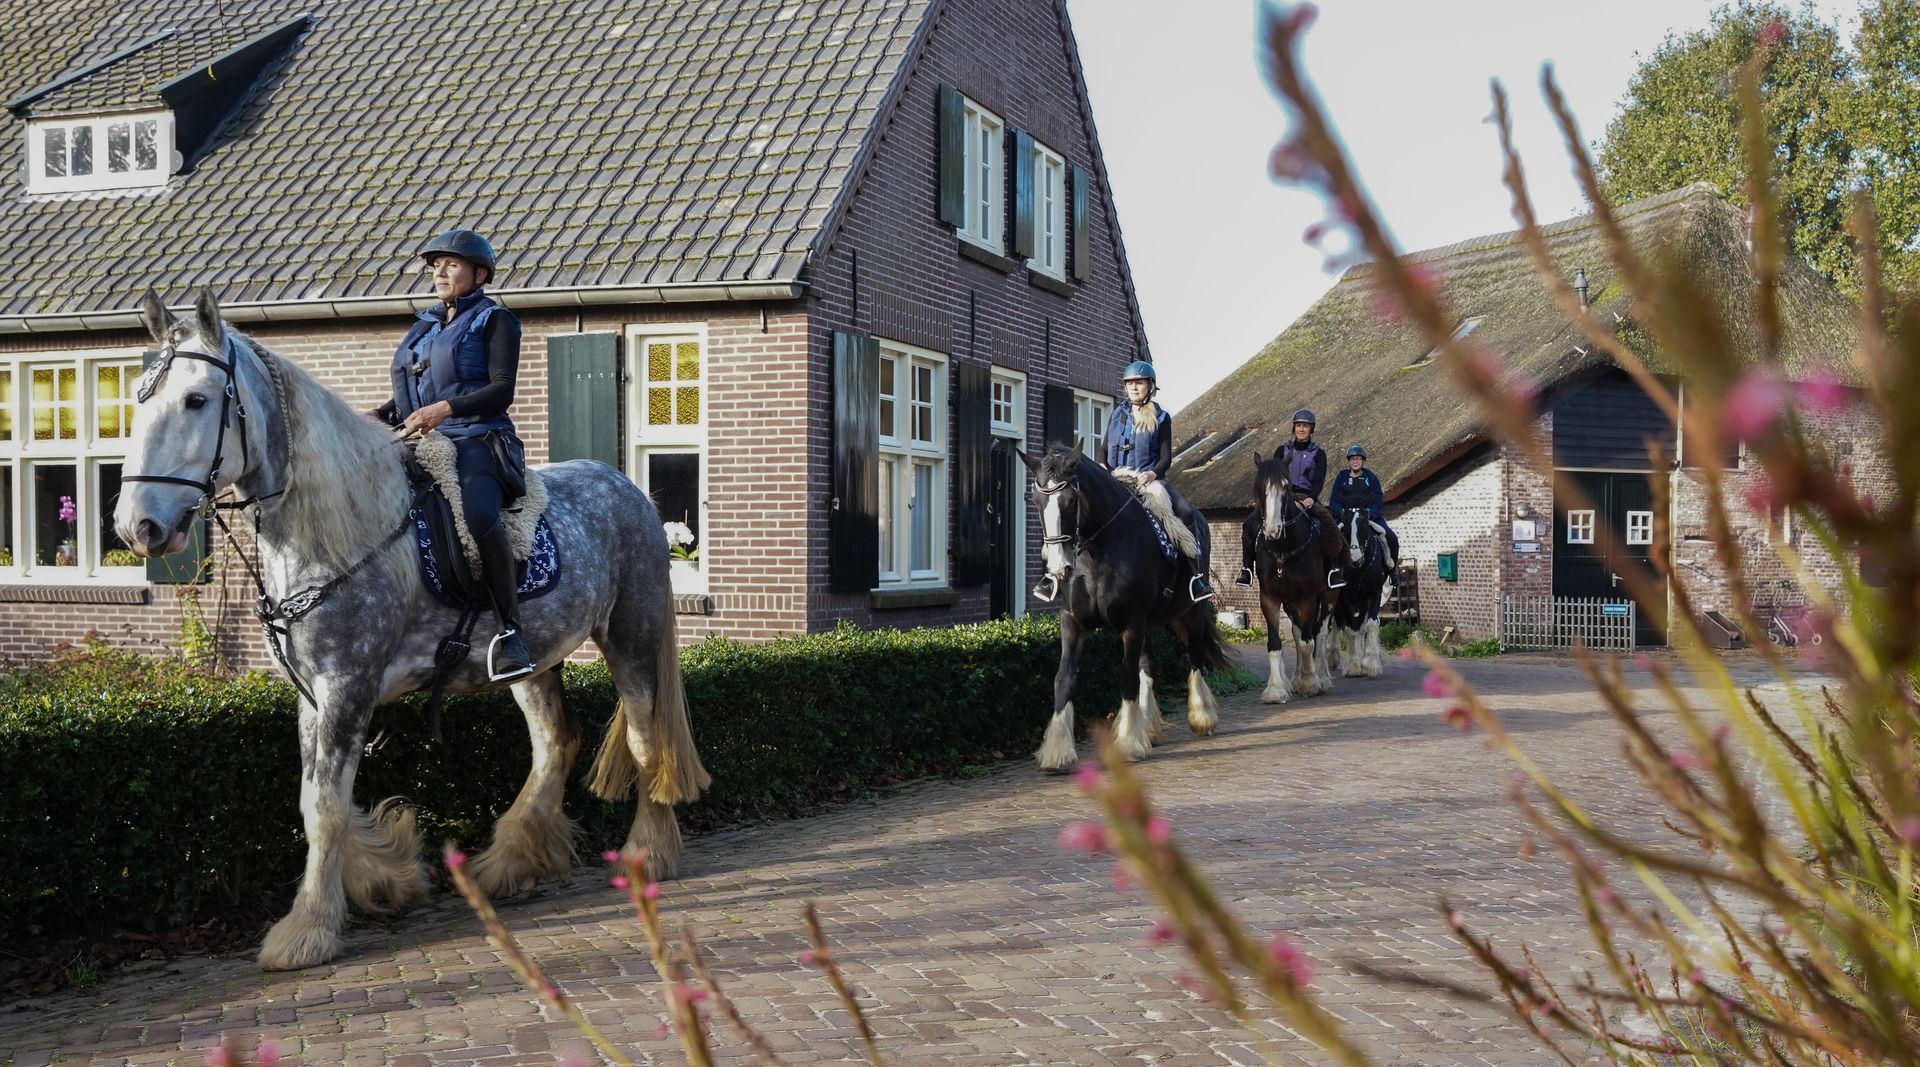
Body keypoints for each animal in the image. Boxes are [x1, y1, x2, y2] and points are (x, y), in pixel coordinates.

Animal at [114, 290, 709, 971]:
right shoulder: (313, 695)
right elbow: (317, 799)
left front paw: (307, 930)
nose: (137, 527)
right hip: (532, 662)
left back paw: (647, 855)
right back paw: (509, 862)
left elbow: (325, 808)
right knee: (555, 743)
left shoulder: (348, 686)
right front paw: (384, 880)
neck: (339, 532)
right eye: (138, 398)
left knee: (644, 741)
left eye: (196, 399)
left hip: (630, 641)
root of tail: (628, 490)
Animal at [1018, 442, 1228, 769]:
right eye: (1037, 500)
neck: (1098, 552)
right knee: (1148, 666)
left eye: (1071, 499)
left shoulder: (1131, 624)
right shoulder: (1073, 622)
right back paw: (1150, 728)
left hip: (1191, 613)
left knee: (1194, 658)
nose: (1058, 568)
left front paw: (1129, 743)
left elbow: (1127, 679)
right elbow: (1063, 680)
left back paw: (1202, 717)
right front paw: (1058, 751)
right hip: (1150, 624)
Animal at [1250, 455, 1343, 704]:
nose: (1272, 530)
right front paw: (1276, 689)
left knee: (1319, 634)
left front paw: (1310, 682)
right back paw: (1296, 677)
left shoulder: (1307, 598)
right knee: (1299, 631)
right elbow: (1276, 643)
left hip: (1328, 598)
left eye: (1286, 487)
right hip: (1290, 602)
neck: (1282, 550)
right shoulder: (1270, 598)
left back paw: (1322, 678)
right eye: (1259, 487)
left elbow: (1308, 642)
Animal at [1332, 510, 1391, 677]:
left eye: (1364, 527)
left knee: (1360, 626)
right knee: (1334, 625)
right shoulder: (1345, 599)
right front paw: (1353, 666)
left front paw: (1370, 664)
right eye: (1344, 527)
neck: (1359, 570)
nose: (1354, 559)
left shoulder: (1374, 595)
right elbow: (1351, 629)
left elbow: (1370, 625)